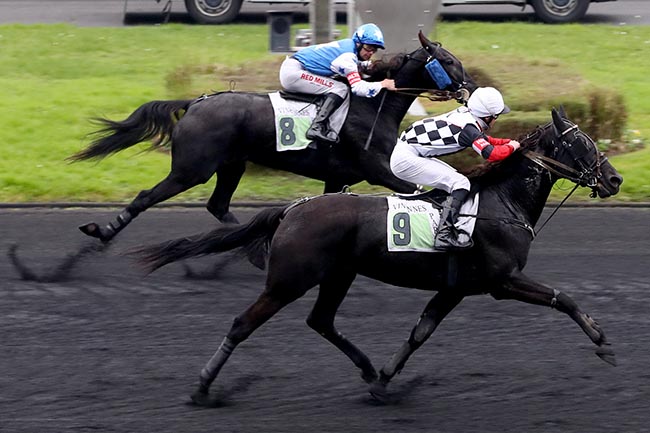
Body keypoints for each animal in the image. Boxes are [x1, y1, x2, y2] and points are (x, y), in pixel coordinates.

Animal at [67, 33, 476, 243]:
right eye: (448, 61)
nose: (469, 87)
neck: (373, 106)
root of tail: (195, 102)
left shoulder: (337, 178)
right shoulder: (381, 172)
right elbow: (422, 191)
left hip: (231, 165)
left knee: (218, 206)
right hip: (192, 169)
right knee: (146, 197)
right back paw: (104, 231)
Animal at [133, 106, 624, 404]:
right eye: (582, 144)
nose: (615, 180)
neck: (500, 205)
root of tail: (294, 209)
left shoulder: (455, 289)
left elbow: (419, 332)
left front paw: (386, 379)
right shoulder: (501, 281)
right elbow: (565, 298)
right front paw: (602, 342)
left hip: (338, 275)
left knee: (321, 321)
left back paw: (369, 372)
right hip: (290, 279)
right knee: (243, 324)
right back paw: (202, 388)